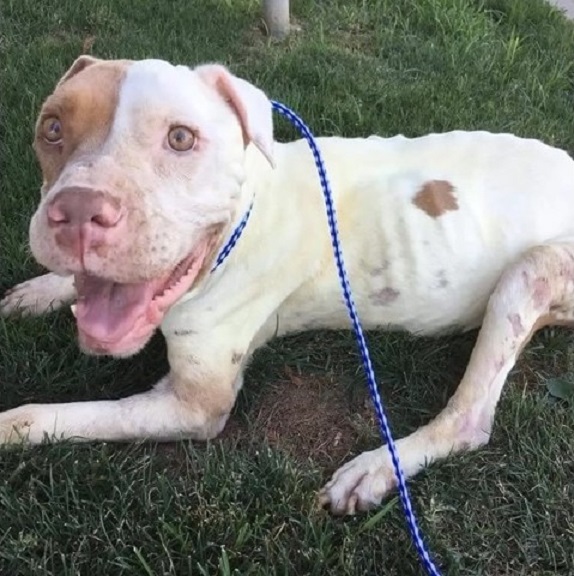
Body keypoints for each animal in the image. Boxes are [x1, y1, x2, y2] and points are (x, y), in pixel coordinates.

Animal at [1, 56, 574, 516]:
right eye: (52, 128)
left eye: (180, 138)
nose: (76, 211)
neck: (245, 212)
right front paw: (43, 290)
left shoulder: (195, 405)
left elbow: (38, 416)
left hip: (535, 268)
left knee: (469, 421)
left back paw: (374, 471)